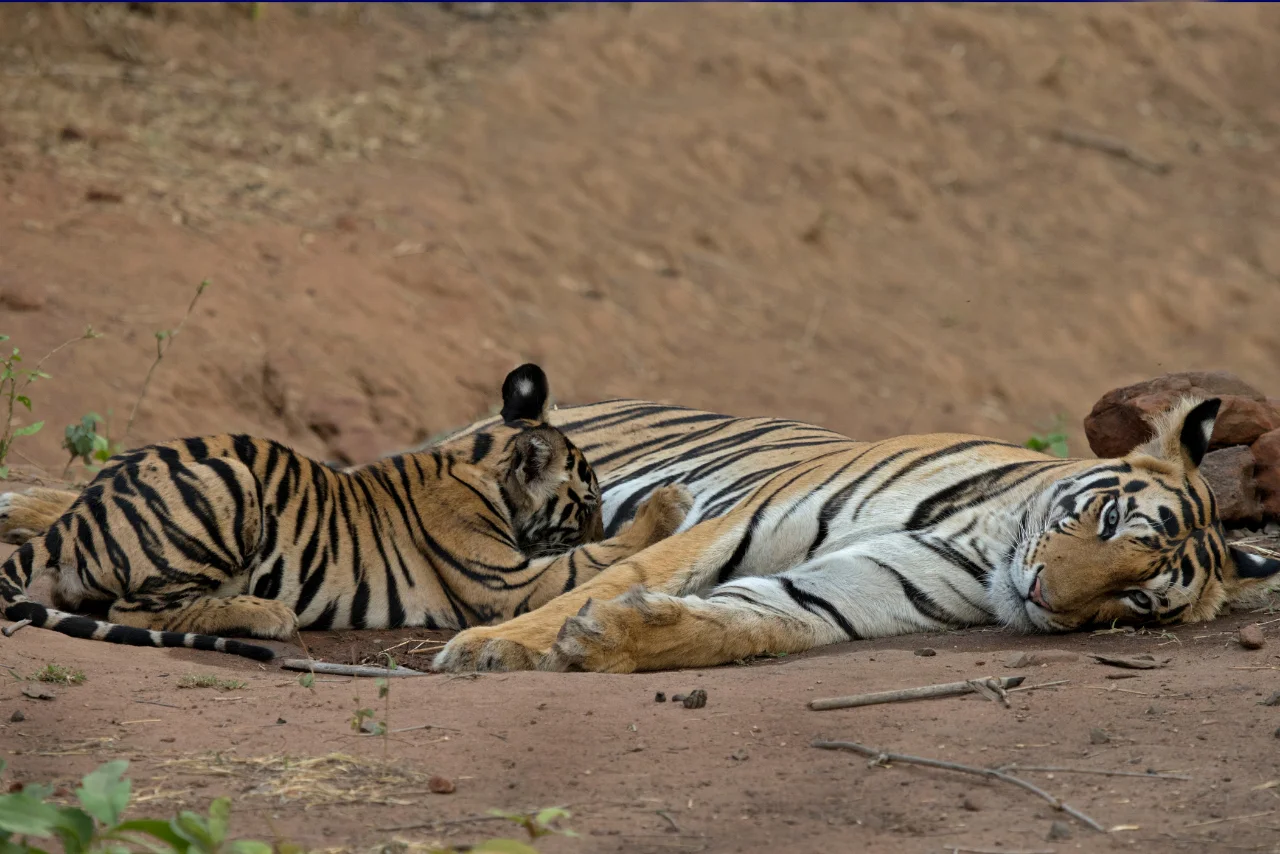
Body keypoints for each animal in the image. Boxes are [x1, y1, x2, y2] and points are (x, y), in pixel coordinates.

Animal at [0, 364, 692, 661]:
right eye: (588, 503)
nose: (597, 514)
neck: (476, 463)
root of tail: (77, 521)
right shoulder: (513, 585)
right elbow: (594, 557)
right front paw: (671, 502)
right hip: (227, 481)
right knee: (132, 609)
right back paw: (267, 614)